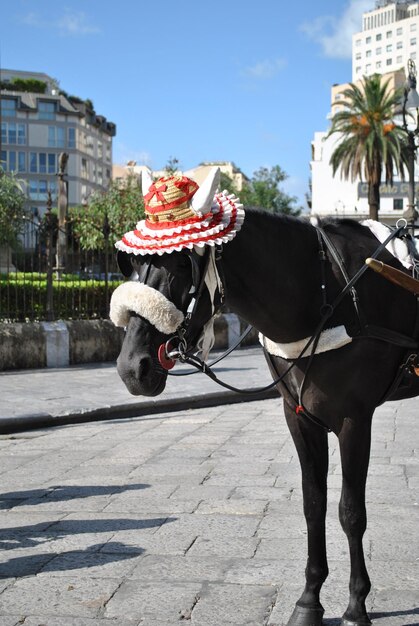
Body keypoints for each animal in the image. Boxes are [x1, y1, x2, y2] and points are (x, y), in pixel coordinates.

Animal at [112, 210, 419, 624]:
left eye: (181, 264)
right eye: (130, 264)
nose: (132, 368)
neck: (323, 291)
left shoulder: (356, 420)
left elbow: (351, 512)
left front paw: (356, 605)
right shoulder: (299, 417)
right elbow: (313, 505)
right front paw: (309, 600)